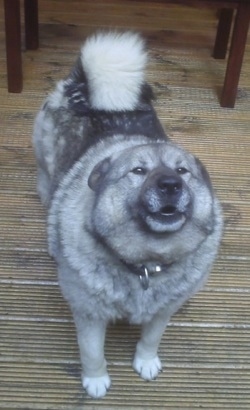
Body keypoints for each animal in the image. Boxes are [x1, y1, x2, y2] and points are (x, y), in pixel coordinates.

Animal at [33, 31, 223, 398]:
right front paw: (95, 380)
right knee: (49, 197)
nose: (170, 185)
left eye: (183, 171)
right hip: (48, 172)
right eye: (138, 171)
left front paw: (146, 361)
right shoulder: (89, 314)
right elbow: (92, 352)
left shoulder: (163, 311)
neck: (146, 264)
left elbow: (151, 338)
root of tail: (82, 85)